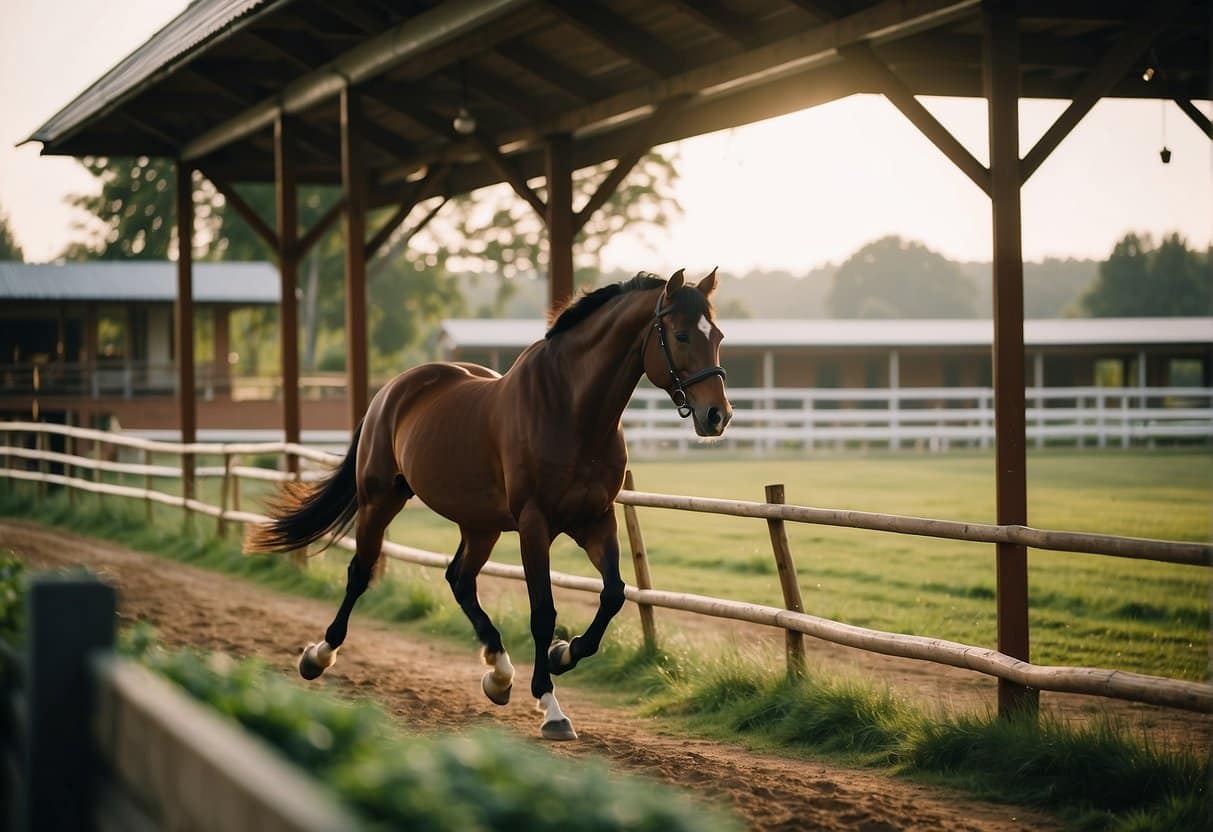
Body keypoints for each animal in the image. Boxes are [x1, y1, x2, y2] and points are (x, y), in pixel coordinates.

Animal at [246, 269, 727, 742]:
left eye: (718, 334)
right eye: (682, 335)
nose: (717, 416)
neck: (571, 410)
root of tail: (392, 391)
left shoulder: (596, 519)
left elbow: (613, 594)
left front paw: (562, 655)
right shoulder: (535, 524)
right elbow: (543, 612)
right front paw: (550, 706)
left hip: (481, 526)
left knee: (459, 579)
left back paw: (499, 674)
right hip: (380, 502)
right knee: (360, 574)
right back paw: (318, 656)